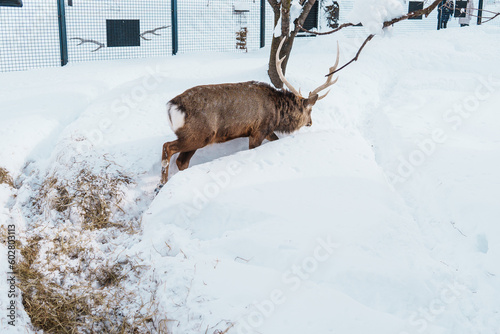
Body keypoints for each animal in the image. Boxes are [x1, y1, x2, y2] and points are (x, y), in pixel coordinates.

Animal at [160, 39, 340, 185]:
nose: (310, 122)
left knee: (182, 161)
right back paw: (162, 183)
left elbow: (275, 139)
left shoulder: (267, 130)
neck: (277, 113)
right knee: (168, 147)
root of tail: (171, 107)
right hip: (200, 134)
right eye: (310, 110)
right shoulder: (258, 130)